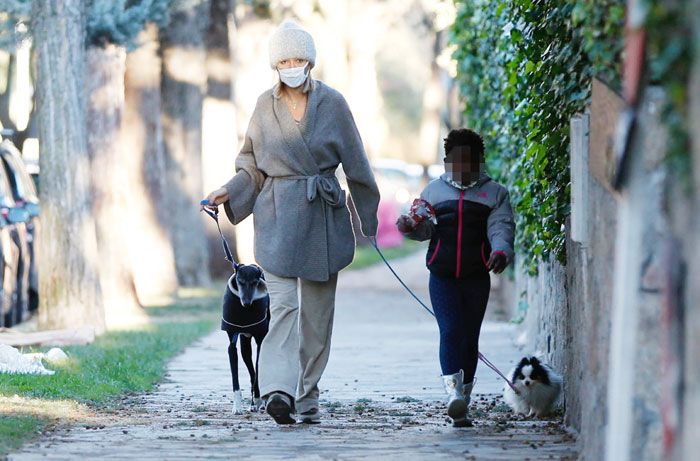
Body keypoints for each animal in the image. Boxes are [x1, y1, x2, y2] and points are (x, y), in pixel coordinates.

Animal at [221, 262, 270, 414]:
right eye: (240, 281)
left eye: (255, 282)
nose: (246, 303)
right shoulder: (232, 345)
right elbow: (235, 378)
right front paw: (237, 407)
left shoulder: (261, 341)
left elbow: (258, 372)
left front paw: (259, 400)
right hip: (245, 348)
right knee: (251, 370)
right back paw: (254, 403)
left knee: (256, 372)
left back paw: (260, 401)